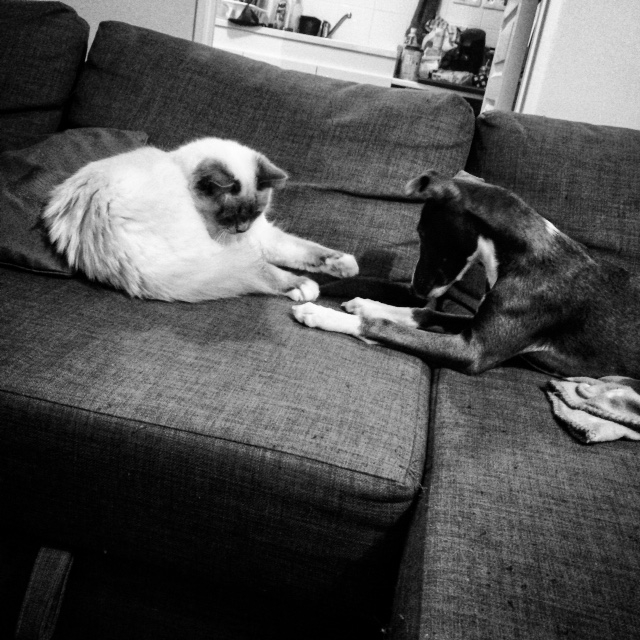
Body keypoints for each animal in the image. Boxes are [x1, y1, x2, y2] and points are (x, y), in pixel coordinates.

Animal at [42, 137, 358, 302]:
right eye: (229, 215)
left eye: (254, 213)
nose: (242, 229)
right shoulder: (239, 243)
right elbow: (277, 263)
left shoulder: (260, 237)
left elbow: (309, 250)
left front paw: (345, 264)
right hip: (209, 251)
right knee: (262, 271)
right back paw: (303, 287)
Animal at [293, 170, 640, 378]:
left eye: (423, 232)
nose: (416, 289)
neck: (521, 254)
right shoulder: (474, 321)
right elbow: (424, 314)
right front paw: (369, 304)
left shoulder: (473, 351)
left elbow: (383, 327)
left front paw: (322, 313)